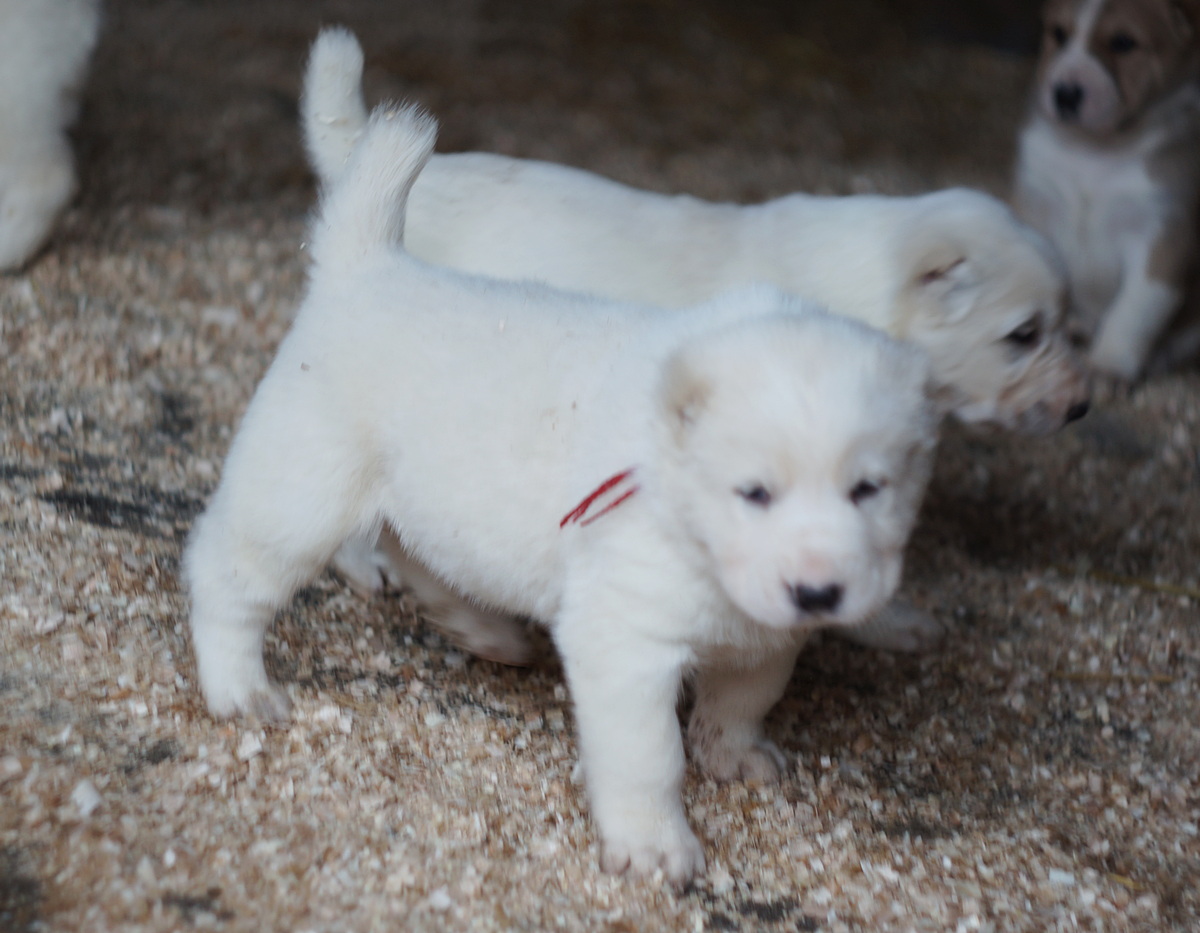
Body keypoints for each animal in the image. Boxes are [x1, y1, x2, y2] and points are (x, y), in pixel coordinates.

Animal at [185, 104, 939, 882]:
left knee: (419, 554)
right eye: (754, 491)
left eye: (868, 488)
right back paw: (240, 687)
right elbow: (649, 756)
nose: (819, 593)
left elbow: (741, 701)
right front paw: (653, 844)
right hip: (298, 495)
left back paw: (482, 630)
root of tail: (365, 267)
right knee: (226, 575)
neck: (674, 496)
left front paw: (731, 755)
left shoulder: (765, 637)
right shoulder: (624, 639)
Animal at [1014, 0, 1200, 381]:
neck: (1094, 152)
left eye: (1123, 43)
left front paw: (1107, 367)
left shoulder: (1162, 239)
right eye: (1059, 34)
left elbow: (1133, 312)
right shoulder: (1036, 204)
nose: (1065, 93)